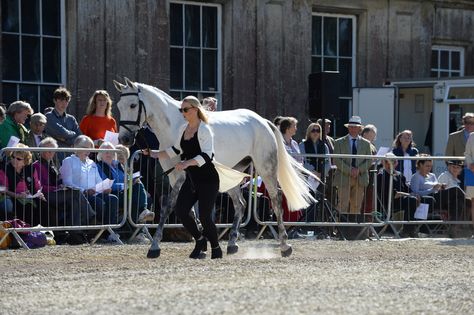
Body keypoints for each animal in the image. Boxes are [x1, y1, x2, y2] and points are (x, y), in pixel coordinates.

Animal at [113, 78, 316, 258]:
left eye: (133, 105)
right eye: (119, 105)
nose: (124, 139)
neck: (176, 126)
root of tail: (263, 121)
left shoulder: (180, 175)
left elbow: (168, 207)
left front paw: (155, 246)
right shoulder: (175, 177)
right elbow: (189, 211)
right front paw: (201, 246)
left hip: (266, 168)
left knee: (276, 199)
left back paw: (284, 246)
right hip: (232, 175)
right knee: (241, 204)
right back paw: (232, 244)